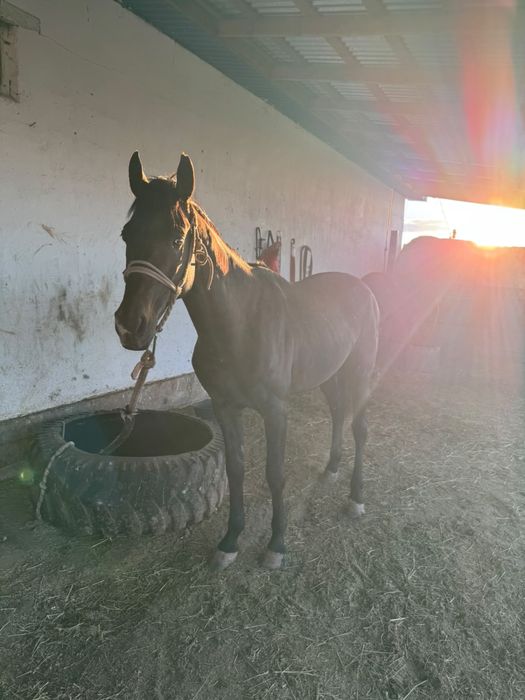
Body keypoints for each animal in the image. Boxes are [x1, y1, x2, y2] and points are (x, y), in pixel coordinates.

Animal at [115, 152, 380, 570]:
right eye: (127, 234)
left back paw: (355, 499)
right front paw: (230, 541)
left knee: (360, 428)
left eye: (177, 238)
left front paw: (277, 545)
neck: (239, 324)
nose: (130, 328)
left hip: (359, 373)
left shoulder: (275, 410)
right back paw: (332, 469)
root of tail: (363, 287)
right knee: (339, 413)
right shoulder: (226, 407)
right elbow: (236, 469)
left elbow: (275, 474)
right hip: (329, 374)